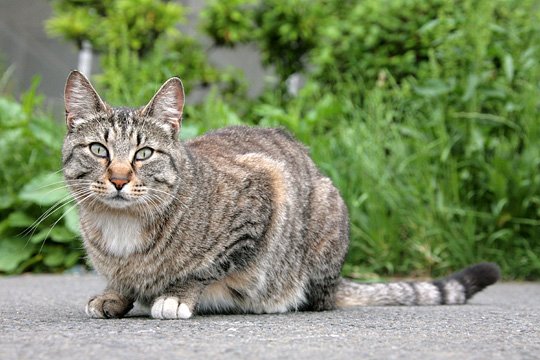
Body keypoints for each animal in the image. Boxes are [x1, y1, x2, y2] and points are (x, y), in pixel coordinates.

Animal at [62, 71, 498, 320]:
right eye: (99, 150)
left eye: (143, 153)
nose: (119, 179)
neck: (121, 226)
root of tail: (338, 282)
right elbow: (124, 280)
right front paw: (116, 295)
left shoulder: (264, 190)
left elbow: (204, 268)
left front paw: (174, 295)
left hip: (323, 209)